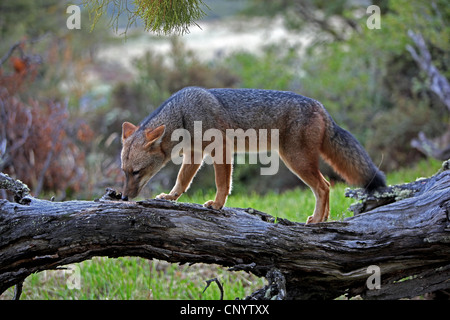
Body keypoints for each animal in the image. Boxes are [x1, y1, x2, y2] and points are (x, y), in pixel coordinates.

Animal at [121, 86, 384, 224]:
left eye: (137, 172)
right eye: (124, 173)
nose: (123, 197)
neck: (185, 115)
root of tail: (319, 105)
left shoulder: (221, 150)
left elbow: (222, 183)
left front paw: (217, 205)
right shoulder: (194, 155)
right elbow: (182, 181)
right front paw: (170, 197)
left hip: (295, 161)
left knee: (323, 187)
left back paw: (318, 220)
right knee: (328, 185)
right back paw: (323, 219)